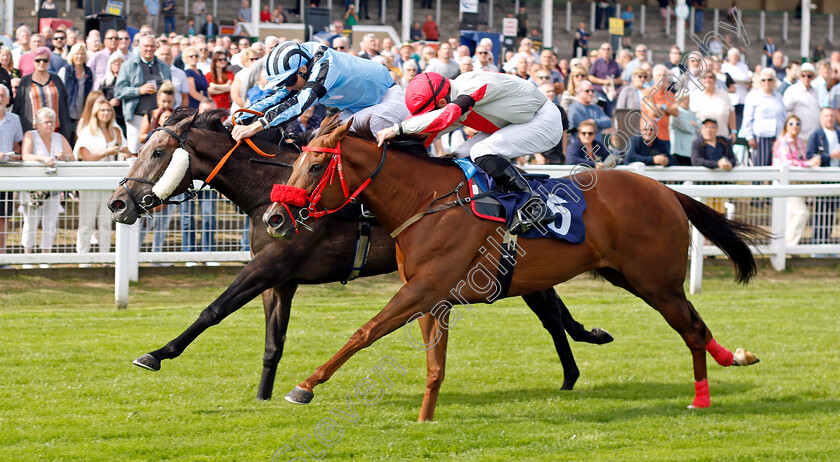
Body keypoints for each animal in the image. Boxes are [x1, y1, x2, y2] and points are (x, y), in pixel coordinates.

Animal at [106, 108, 612, 404]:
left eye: (157, 150)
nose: (117, 203)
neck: (270, 189)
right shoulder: (280, 279)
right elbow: (273, 343)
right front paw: (266, 395)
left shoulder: (268, 267)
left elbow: (213, 310)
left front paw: (156, 354)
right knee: (553, 312)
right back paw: (577, 361)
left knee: (551, 316)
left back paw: (572, 372)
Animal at [266, 116, 764, 418]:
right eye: (296, 161)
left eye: (314, 167)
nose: (274, 218)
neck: (427, 201)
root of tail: (667, 191)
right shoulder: (432, 297)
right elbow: (434, 365)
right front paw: (426, 418)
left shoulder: (423, 289)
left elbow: (364, 332)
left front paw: (305, 385)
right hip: (635, 277)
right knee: (697, 324)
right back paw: (735, 357)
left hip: (655, 281)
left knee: (691, 330)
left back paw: (702, 398)